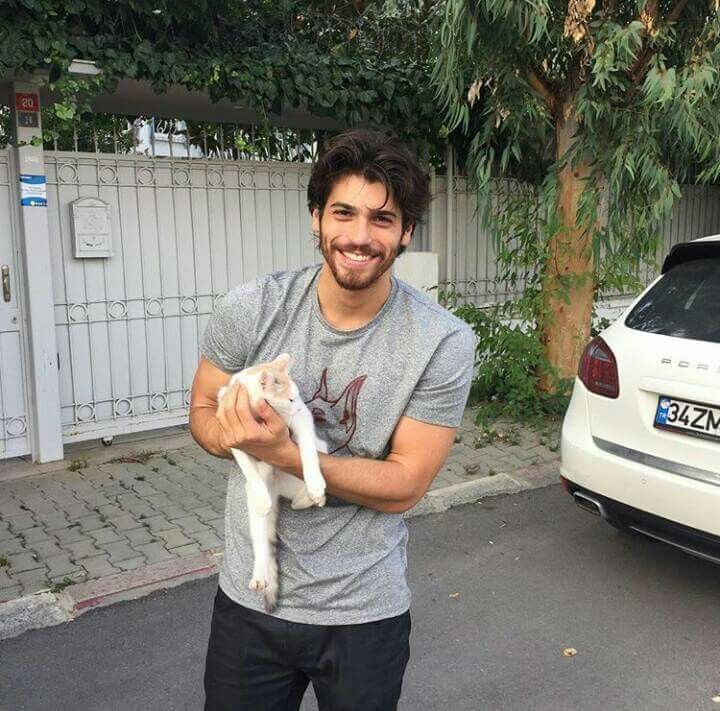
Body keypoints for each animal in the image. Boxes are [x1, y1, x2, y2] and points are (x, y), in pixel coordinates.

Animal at [215, 354, 324, 612]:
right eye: (290, 398)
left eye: (299, 398)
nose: (299, 406)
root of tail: (276, 487)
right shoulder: (231, 434)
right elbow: (248, 468)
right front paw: (260, 491)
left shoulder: (301, 421)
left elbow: (307, 449)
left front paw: (315, 483)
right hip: (255, 515)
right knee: (261, 541)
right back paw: (260, 575)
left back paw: (308, 496)